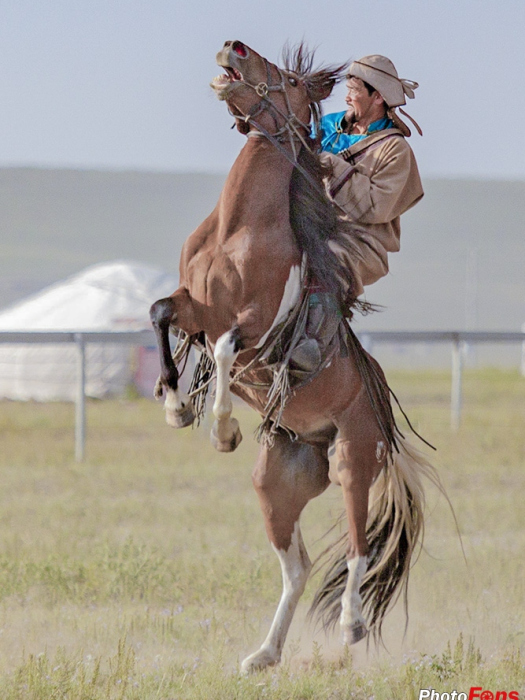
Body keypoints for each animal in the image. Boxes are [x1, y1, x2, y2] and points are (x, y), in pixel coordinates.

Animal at [149, 40, 436, 673]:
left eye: (288, 78)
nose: (231, 47)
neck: (239, 228)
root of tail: (381, 421)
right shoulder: (192, 307)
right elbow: (158, 313)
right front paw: (176, 407)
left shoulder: (255, 324)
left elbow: (226, 350)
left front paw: (223, 429)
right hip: (275, 486)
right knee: (298, 568)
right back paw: (264, 654)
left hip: (354, 463)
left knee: (357, 549)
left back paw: (351, 624)